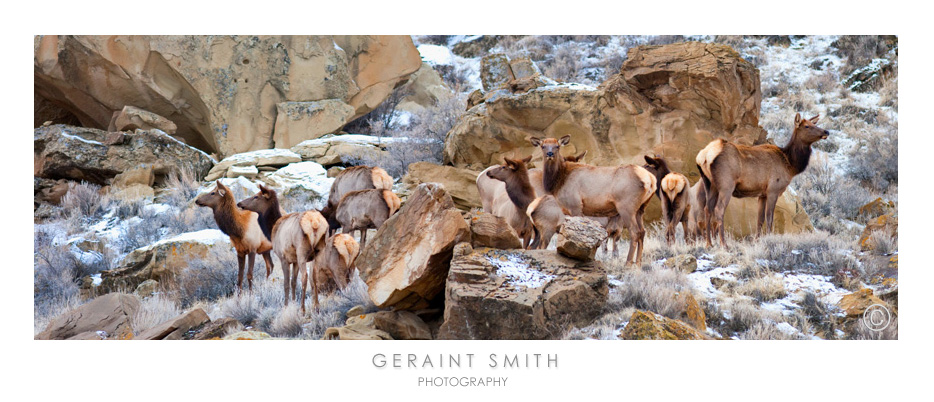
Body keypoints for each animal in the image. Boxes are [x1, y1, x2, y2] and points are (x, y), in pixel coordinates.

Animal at [238, 184, 330, 312]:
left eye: (256, 196)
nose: (239, 203)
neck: (272, 229)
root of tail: (315, 223)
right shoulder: (294, 260)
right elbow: (293, 282)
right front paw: (293, 302)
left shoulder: (284, 258)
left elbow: (286, 283)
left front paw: (286, 306)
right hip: (319, 251)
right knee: (314, 276)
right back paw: (316, 306)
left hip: (302, 251)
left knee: (305, 277)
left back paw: (303, 309)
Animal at [532, 136, 660, 266]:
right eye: (543, 146)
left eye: (557, 146)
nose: (550, 153)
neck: (559, 183)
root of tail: (651, 180)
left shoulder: (575, 204)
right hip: (641, 208)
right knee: (642, 232)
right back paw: (638, 263)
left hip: (627, 206)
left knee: (635, 232)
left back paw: (628, 263)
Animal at [696, 111, 832, 247]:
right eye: (807, 126)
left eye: (814, 124)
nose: (826, 131)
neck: (790, 166)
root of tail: (704, 156)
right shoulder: (773, 189)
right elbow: (769, 217)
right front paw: (769, 238)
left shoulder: (762, 194)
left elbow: (760, 219)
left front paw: (757, 240)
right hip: (726, 185)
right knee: (718, 210)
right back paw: (724, 244)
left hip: (709, 184)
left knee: (707, 209)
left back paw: (709, 243)